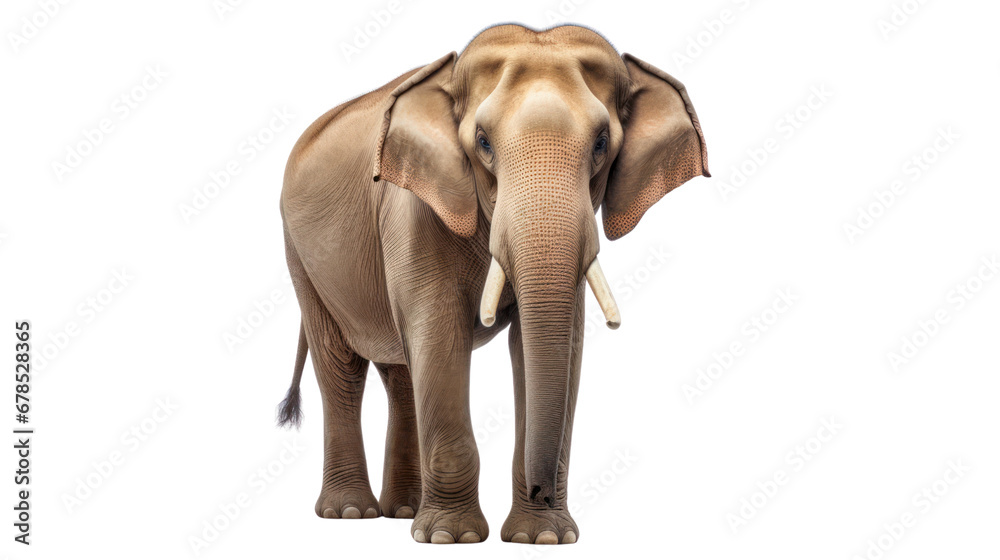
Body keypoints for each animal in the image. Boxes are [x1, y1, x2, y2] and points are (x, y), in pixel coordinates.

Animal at [276, 23, 709, 544]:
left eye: (602, 143)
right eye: (482, 142)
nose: (543, 490)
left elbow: (553, 343)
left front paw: (540, 538)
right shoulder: (413, 209)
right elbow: (438, 334)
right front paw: (450, 538)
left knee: (400, 372)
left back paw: (402, 511)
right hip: (301, 256)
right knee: (340, 365)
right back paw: (350, 513)